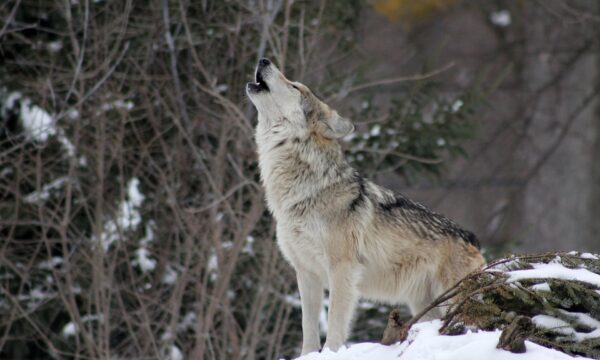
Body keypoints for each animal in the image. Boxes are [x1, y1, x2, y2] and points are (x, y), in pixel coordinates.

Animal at [246, 58, 486, 354]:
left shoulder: (342, 269)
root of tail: (472, 238)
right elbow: (308, 328)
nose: (264, 60)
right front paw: (309, 355)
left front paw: (331, 353)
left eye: (295, 86)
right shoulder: (306, 273)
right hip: (424, 306)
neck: (303, 191)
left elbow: (335, 323)